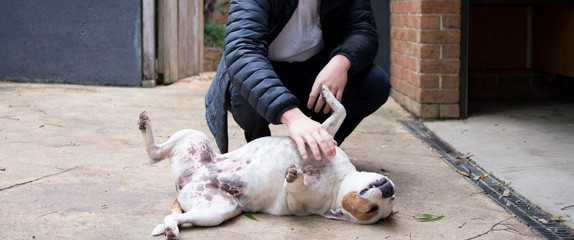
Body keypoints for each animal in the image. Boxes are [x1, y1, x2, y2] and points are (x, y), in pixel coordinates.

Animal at [138, 84, 396, 238]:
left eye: (372, 210)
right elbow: (341, 111)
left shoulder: (300, 200)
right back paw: (145, 124)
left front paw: (296, 176)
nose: (389, 191)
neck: (339, 181)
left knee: (174, 211)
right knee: (154, 154)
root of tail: (186, 182)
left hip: (216, 211)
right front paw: (326, 92)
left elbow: (296, 188)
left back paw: (171, 228)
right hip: (193, 138)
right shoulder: (323, 133)